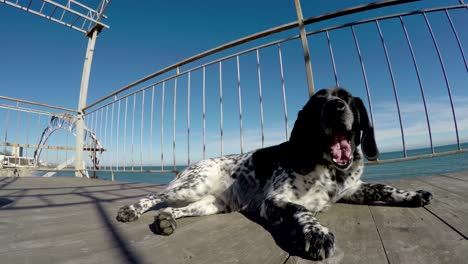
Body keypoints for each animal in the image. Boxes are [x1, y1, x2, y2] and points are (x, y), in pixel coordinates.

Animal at [116, 87, 432, 260]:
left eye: (347, 99)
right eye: (319, 102)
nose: (336, 106)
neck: (328, 168)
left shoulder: (351, 190)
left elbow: (385, 188)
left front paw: (412, 194)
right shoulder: (274, 201)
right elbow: (302, 211)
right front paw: (317, 234)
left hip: (211, 204)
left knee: (172, 208)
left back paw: (166, 220)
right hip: (193, 185)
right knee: (155, 195)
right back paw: (131, 210)